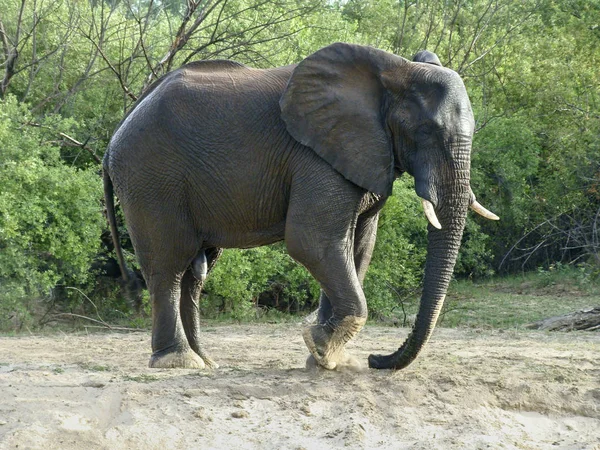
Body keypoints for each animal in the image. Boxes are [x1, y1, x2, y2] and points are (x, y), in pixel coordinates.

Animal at [103, 42, 496, 370]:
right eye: (427, 132)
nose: (376, 359)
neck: (395, 70)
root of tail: (115, 136)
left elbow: (358, 249)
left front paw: (328, 358)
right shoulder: (316, 157)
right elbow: (313, 242)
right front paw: (320, 346)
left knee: (195, 273)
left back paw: (206, 362)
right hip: (151, 177)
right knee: (168, 265)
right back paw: (178, 361)